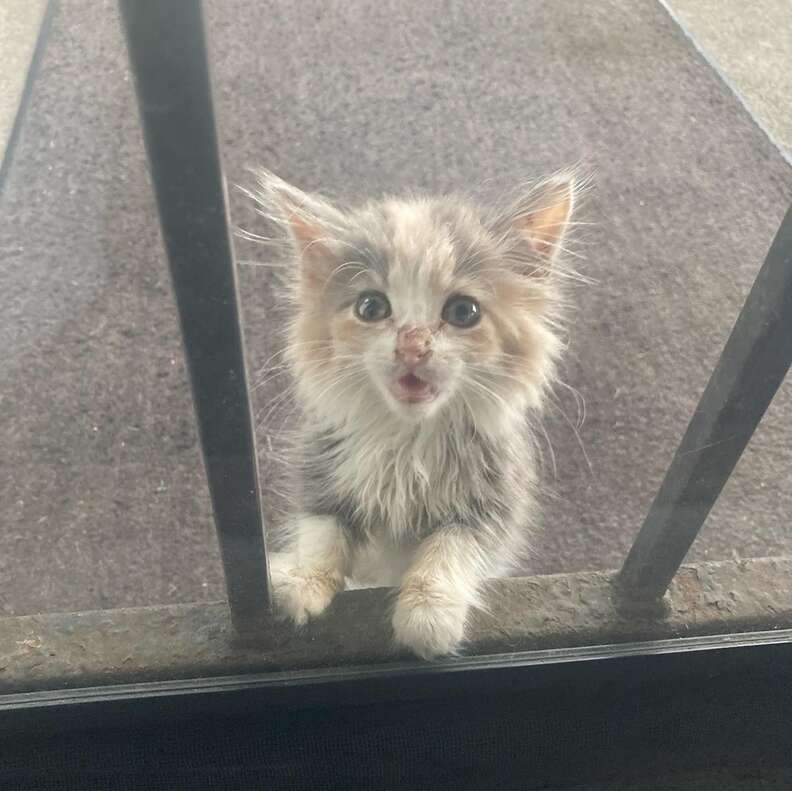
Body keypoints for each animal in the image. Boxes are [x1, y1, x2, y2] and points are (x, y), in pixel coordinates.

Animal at [251, 170, 580, 660]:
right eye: (371, 307)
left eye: (463, 311)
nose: (412, 344)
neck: (407, 438)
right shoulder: (321, 466)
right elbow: (322, 531)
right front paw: (301, 581)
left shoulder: (494, 500)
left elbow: (449, 549)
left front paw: (428, 616)